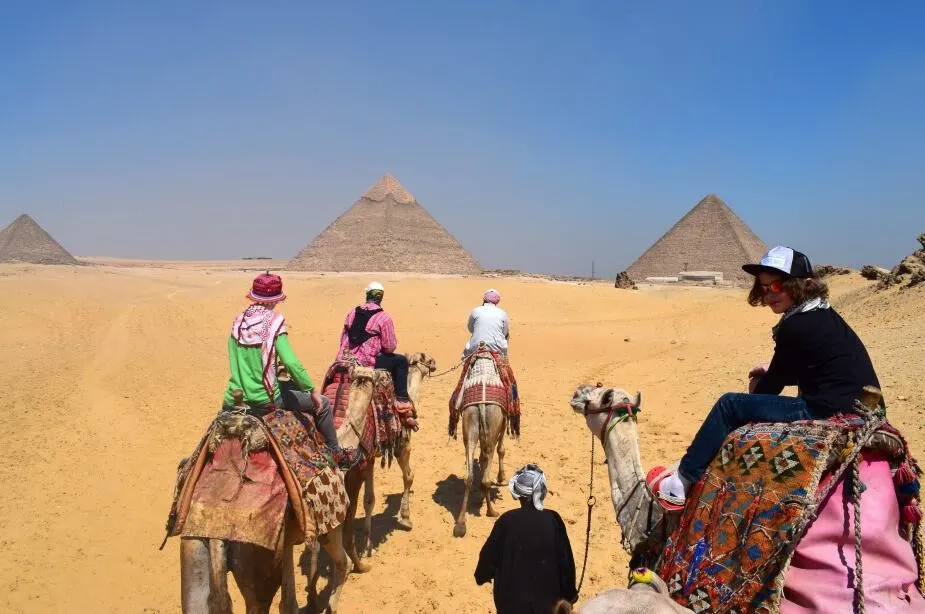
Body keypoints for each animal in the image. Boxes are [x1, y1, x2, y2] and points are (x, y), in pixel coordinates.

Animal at [175, 368, 378, 614]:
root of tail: (216, 536)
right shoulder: (330, 520)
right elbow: (342, 564)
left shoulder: (287, 541)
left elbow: (288, 602)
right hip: (256, 567)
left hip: (193, 552)